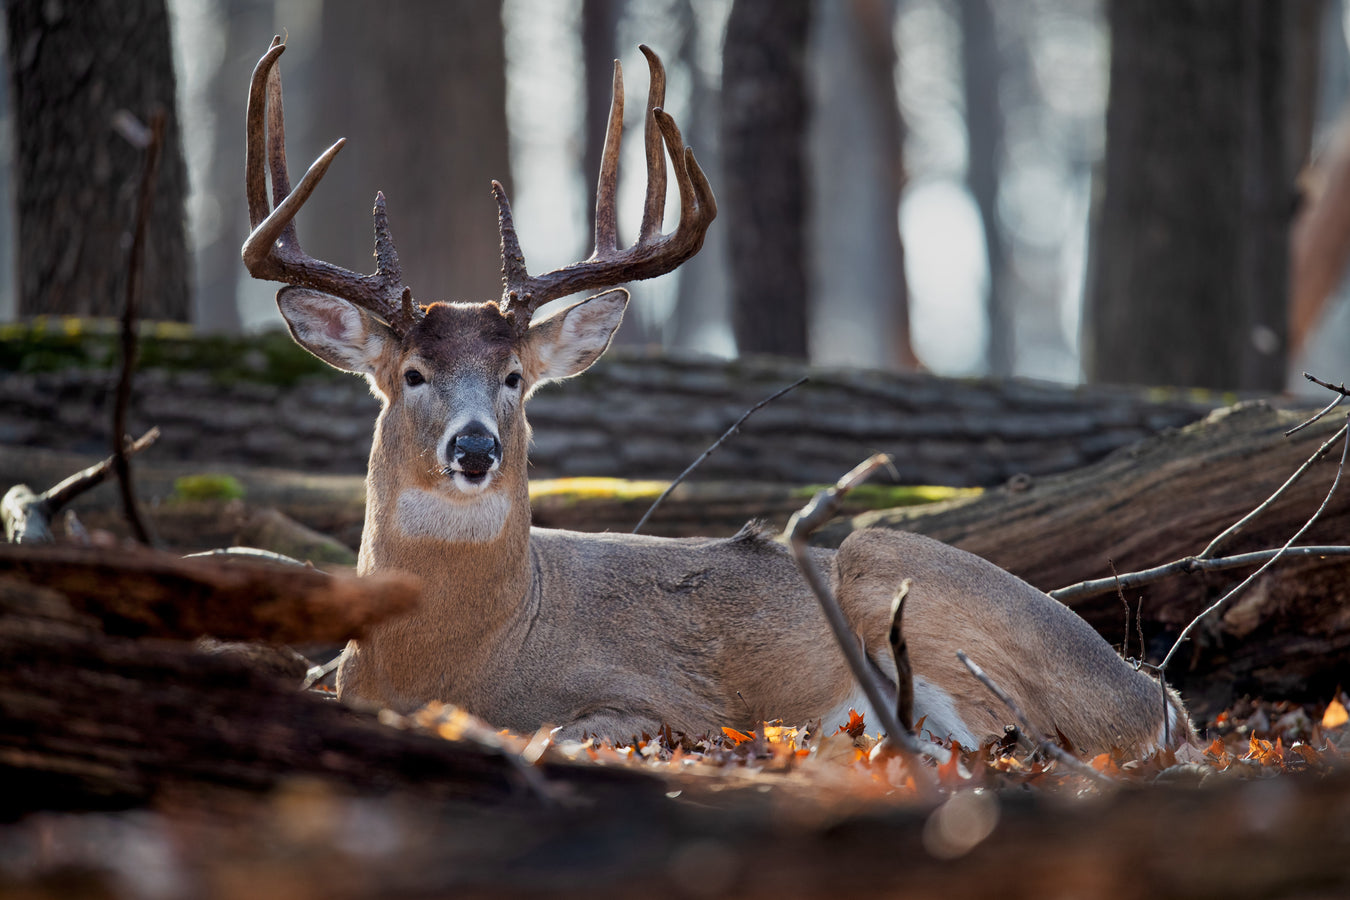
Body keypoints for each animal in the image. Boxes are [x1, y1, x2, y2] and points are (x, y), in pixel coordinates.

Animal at [243, 40, 1193, 755]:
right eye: (411, 375)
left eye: (515, 379)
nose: (474, 449)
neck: (456, 657)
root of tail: (1158, 701)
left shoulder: (661, 699)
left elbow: (574, 729)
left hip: (900, 571)